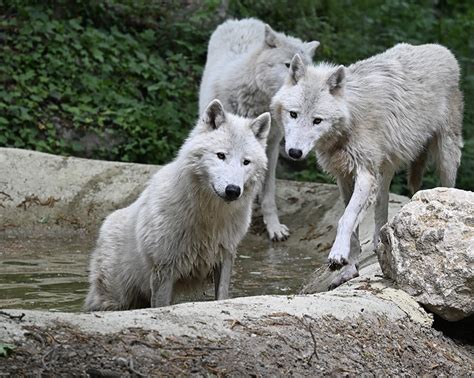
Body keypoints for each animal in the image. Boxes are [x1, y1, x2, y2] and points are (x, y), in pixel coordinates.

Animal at [85, 100, 270, 310]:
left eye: (246, 162)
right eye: (221, 155)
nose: (233, 190)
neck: (210, 217)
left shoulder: (224, 258)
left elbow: (221, 296)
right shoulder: (164, 271)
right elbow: (160, 306)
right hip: (114, 299)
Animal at [272, 42, 464, 288]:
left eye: (317, 120)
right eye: (293, 114)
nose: (295, 153)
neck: (349, 121)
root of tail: (442, 49)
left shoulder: (364, 173)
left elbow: (345, 218)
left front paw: (337, 255)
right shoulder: (344, 176)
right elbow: (351, 223)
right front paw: (349, 269)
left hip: (445, 156)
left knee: (447, 186)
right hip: (385, 170)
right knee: (381, 206)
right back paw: (379, 243)